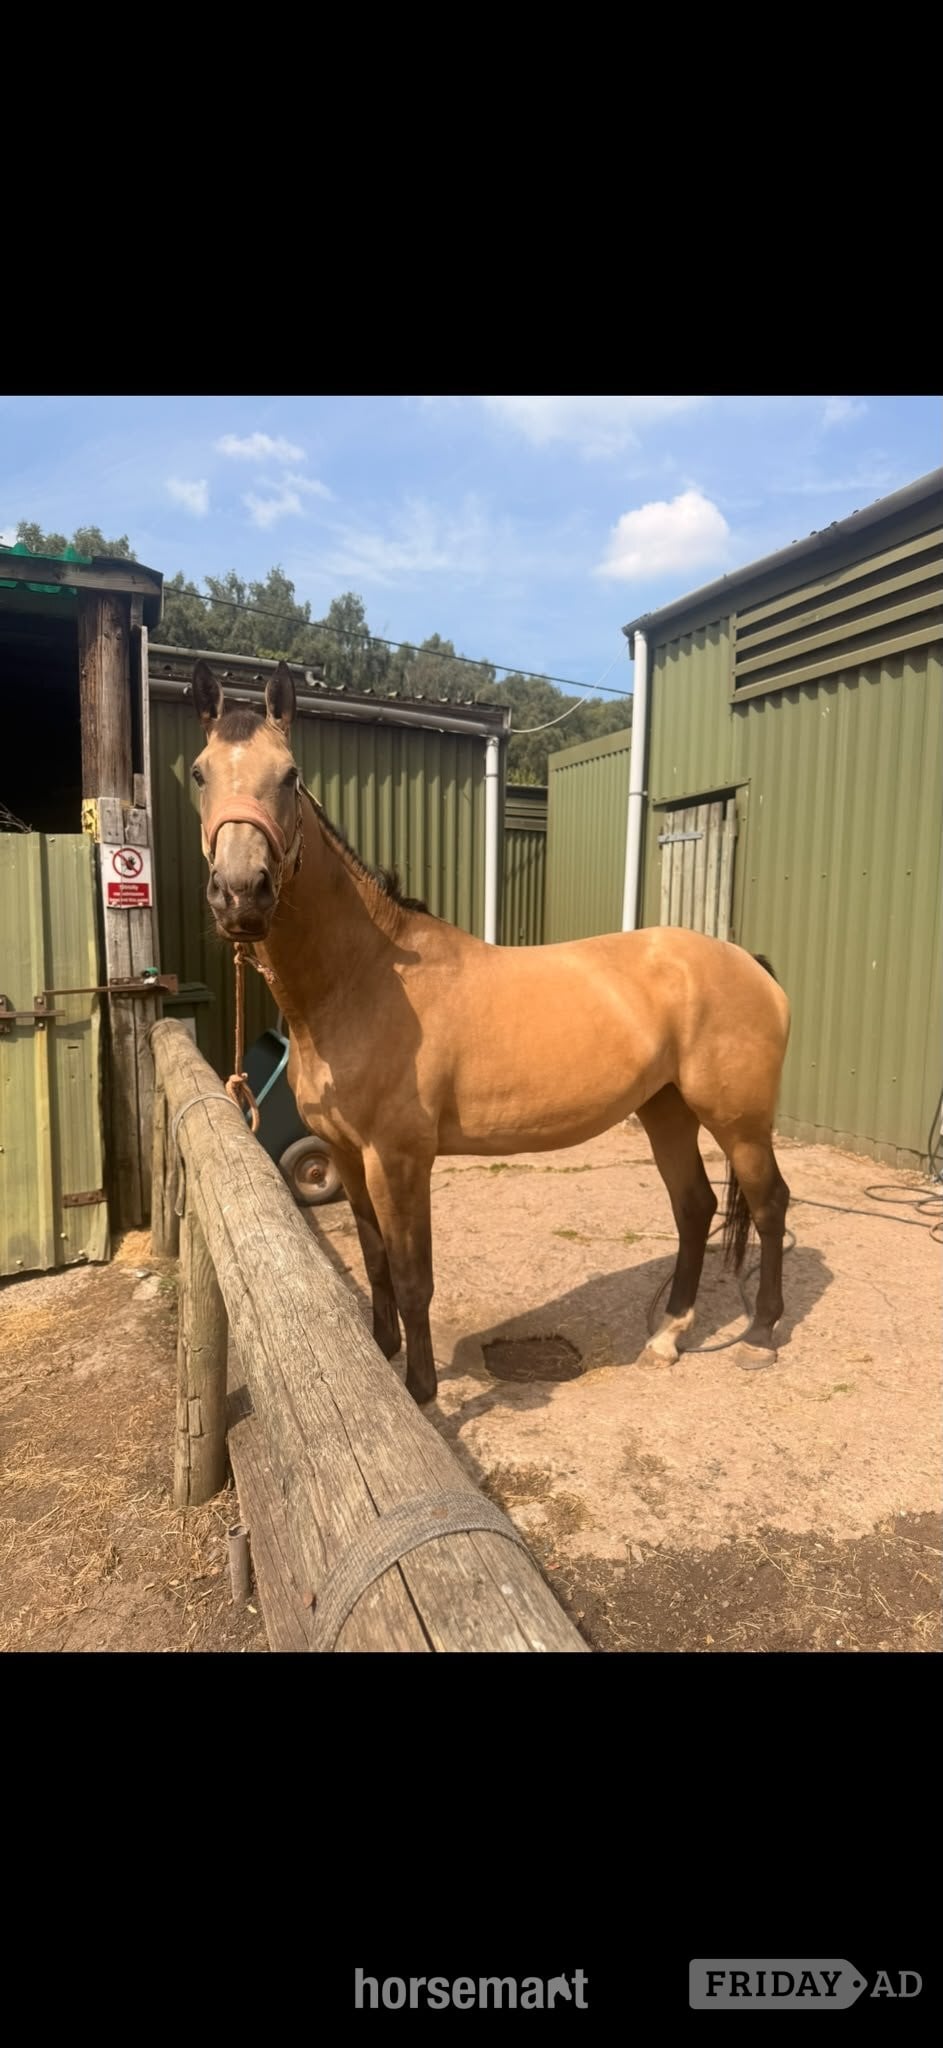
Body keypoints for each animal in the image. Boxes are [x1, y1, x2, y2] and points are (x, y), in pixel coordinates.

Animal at [190, 659, 791, 1406]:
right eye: (199, 773)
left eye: (290, 774)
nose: (241, 893)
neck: (362, 979)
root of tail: (748, 963)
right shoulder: (348, 1156)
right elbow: (374, 1260)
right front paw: (382, 1353)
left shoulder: (399, 1159)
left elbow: (413, 1276)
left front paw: (420, 1391)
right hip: (667, 1109)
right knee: (694, 1206)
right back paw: (668, 1336)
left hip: (738, 1121)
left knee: (768, 1205)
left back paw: (761, 1335)